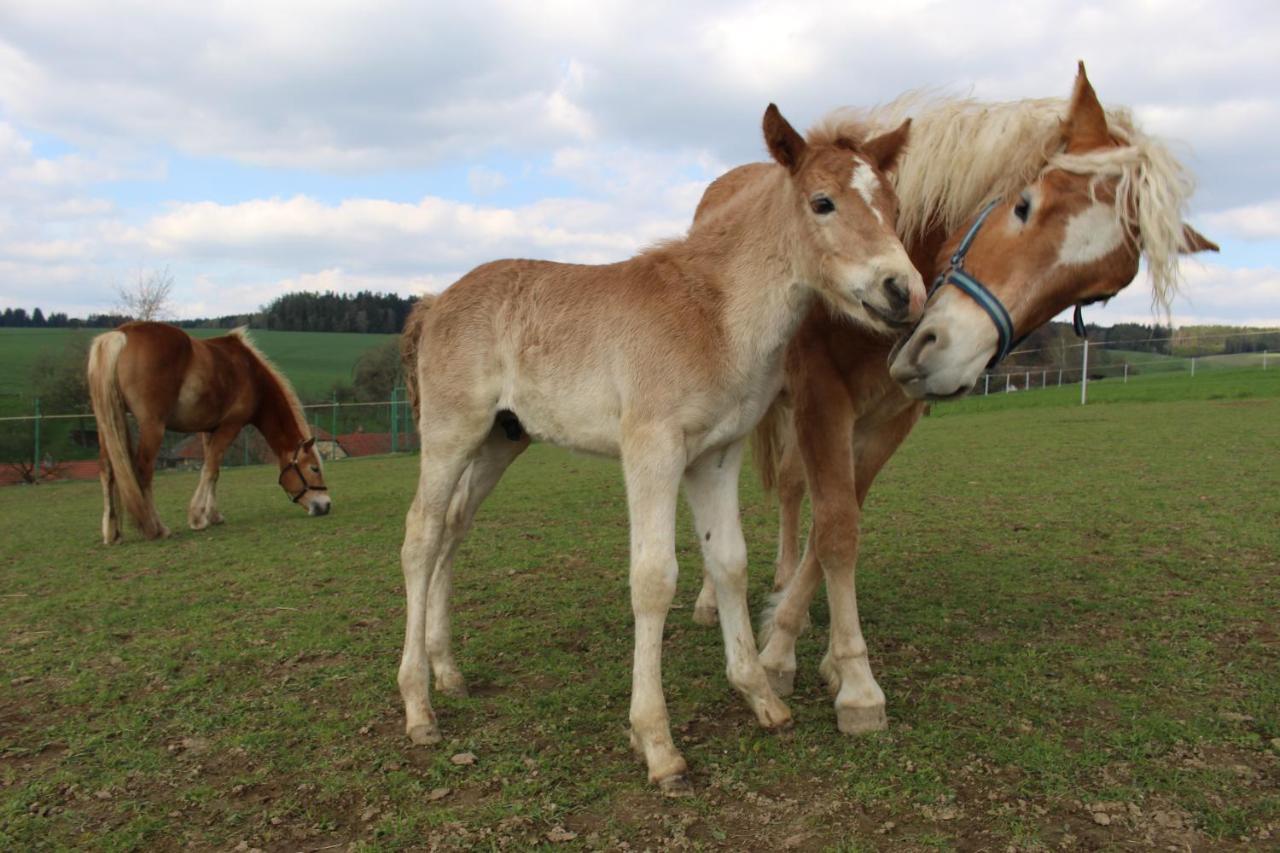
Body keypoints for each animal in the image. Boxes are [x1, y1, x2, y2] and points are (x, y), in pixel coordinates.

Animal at [88, 322, 332, 540]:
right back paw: (156, 528)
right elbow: (210, 470)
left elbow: (214, 471)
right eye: (314, 468)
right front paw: (197, 518)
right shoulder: (230, 426)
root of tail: (120, 335)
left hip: (106, 424)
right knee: (143, 471)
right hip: (152, 427)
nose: (326, 505)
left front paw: (213, 515)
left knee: (106, 471)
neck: (250, 373)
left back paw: (112, 533)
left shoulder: (208, 430)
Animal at [394, 104, 926, 788]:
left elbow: (729, 563)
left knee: (454, 531)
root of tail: (435, 303)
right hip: (450, 434)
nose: (903, 292)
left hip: (498, 442)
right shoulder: (653, 449)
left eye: (892, 203)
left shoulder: (715, 456)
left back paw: (448, 672)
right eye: (823, 202)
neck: (713, 312)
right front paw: (656, 743)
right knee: (422, 536)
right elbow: (653, 578)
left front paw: (761, 698)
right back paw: (418, 707)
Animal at [691, 63, 1218, 732]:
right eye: (1023, 204)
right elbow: (835, 528)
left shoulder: (892, 415)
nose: (941, 353)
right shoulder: (820, 397)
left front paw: (819, 649)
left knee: (789, 488)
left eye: (1095, 296)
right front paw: (825, 671)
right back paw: (712, 599)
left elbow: (837, 520)